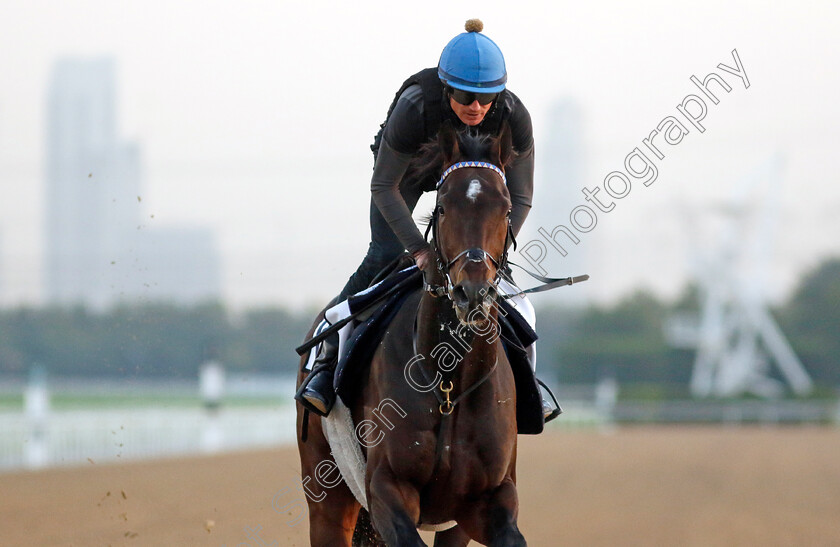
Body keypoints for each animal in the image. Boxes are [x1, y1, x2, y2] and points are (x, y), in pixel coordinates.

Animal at [296, 124, 524, 547]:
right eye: (443, 207)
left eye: (504, 209)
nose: (472, 292)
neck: (449, 379)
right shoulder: (388, 486)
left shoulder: (487, 498)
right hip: (327, 494)